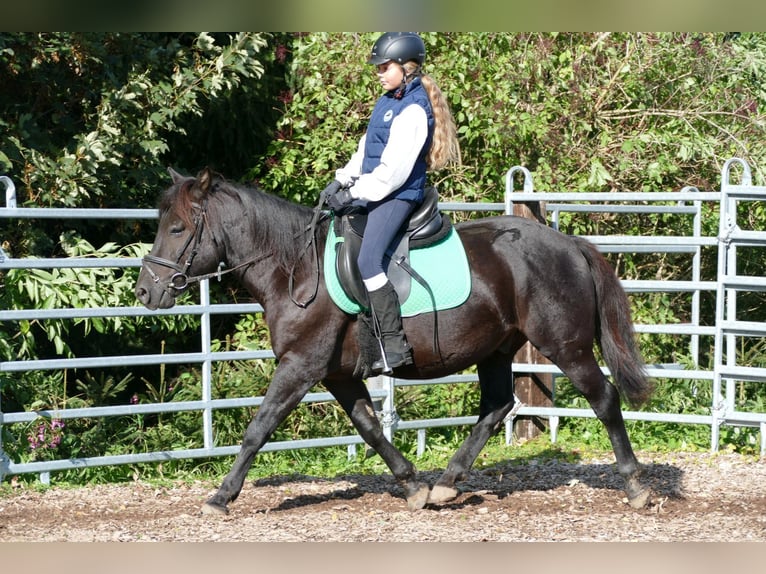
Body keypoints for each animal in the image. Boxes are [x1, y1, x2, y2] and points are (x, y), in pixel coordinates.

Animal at [136, 168, 656, 516]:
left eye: (178, 228)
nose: (145, 292)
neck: (295, 269)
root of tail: (569, 244)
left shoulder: (300, 366)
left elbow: (257, 429)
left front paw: (221, 497)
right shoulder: (338, 374)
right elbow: (369, 428)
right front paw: (411, 485)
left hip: (565, 347)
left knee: (604, 399)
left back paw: (636, 486)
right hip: (497, 349)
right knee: (496, 406)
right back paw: (447, 483)